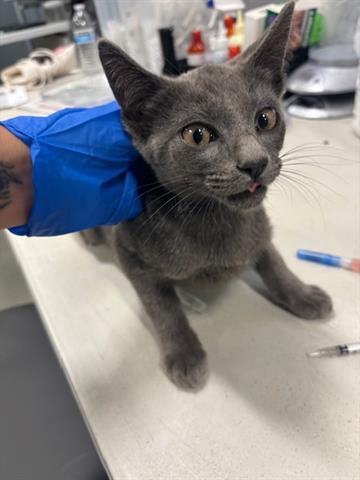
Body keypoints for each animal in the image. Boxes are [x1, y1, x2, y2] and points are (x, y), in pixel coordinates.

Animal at [84, 2, 332, 390]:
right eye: (197, 135)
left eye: (266, 118)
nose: (254, 163)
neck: (216, 223)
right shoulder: (129, 250)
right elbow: (162, 306)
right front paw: (185, 356)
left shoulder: (259, 226)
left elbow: (274, 260)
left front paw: (302, 294)